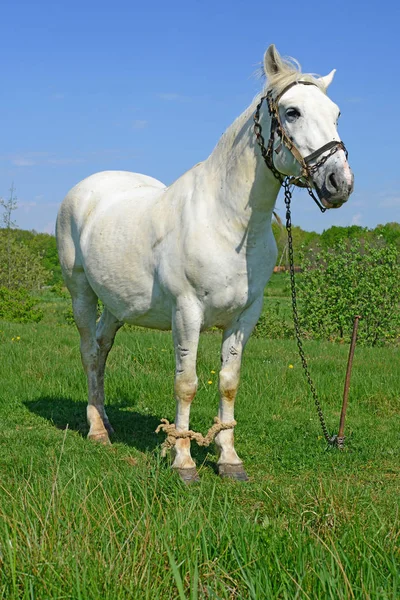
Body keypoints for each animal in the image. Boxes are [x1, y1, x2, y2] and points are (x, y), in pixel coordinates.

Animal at [55, 44, 354, 482]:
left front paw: (229, 458)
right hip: (80, 293)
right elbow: (187, 383)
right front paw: (183, 461)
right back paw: (96, 431)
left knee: (102, 347)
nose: (339, 183)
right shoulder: (187, 312)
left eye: (335, 113)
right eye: (293, 111)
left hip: (116, 305)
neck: (227, 222)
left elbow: (228, 382)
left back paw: (106, 419)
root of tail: (86, 189)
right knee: (89, 352)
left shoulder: (245, 316)